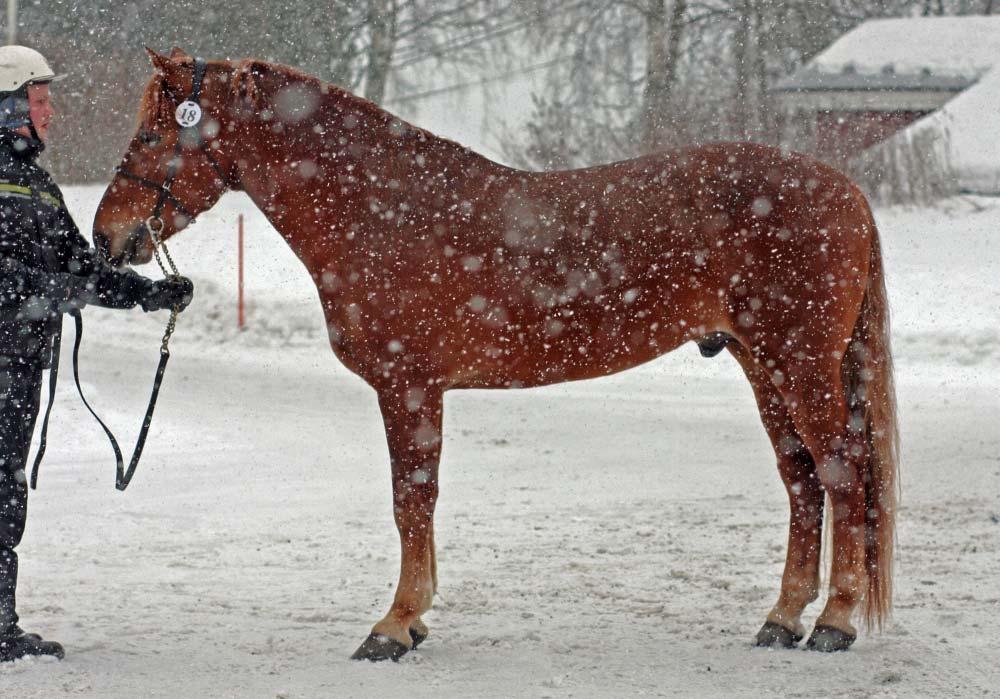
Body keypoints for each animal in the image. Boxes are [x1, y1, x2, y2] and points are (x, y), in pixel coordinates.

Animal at [92, 49, 900, 660]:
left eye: (151, 137)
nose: (107, 236)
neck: (384, 208)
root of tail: (845, 189)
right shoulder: (417, 390)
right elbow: (416, 502)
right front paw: (414, 619)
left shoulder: (409, 386)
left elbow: (411, 500)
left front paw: (394, 626)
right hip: (761, 363)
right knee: (802, 482)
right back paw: (781, 620)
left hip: (799, 363)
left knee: (843, 471)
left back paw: (834, 623)